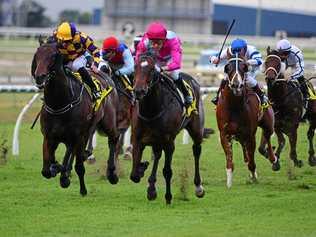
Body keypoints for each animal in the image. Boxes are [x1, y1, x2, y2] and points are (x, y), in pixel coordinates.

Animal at [32, 41, 120, 195]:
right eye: (37, 55)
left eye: (53, 56)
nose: (39, 76)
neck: (59, 103)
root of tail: (105, 73)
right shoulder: (49, 137)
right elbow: (46, 169)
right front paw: (59, 170)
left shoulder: (77, 136)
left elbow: (77, 165)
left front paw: (79, 186)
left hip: (107, 122)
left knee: (113, 138)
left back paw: (112, 173)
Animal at [130, 52, 205, 205]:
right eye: (135, 67)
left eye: (152, 70)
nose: (139, 91)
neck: (151, 111)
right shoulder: (137, 139)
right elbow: (134, 173)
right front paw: (142, 169)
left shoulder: (169, 141)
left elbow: (167, 171)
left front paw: (168, 196)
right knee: (157, 155)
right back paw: (151, 188)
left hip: (196, 129)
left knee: (196, 150)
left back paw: (198, 187)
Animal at [217, 56, 278, 188]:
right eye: (228, 68)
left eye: (244, 68)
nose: (236, 85)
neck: (234, 106)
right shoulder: (224, 133)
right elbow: (229, 158)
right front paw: (229, 182)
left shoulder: (250, 134)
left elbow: (252, 159)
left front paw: (254, 176)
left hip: (268, 124)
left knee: (267, 137)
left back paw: (273, 159)